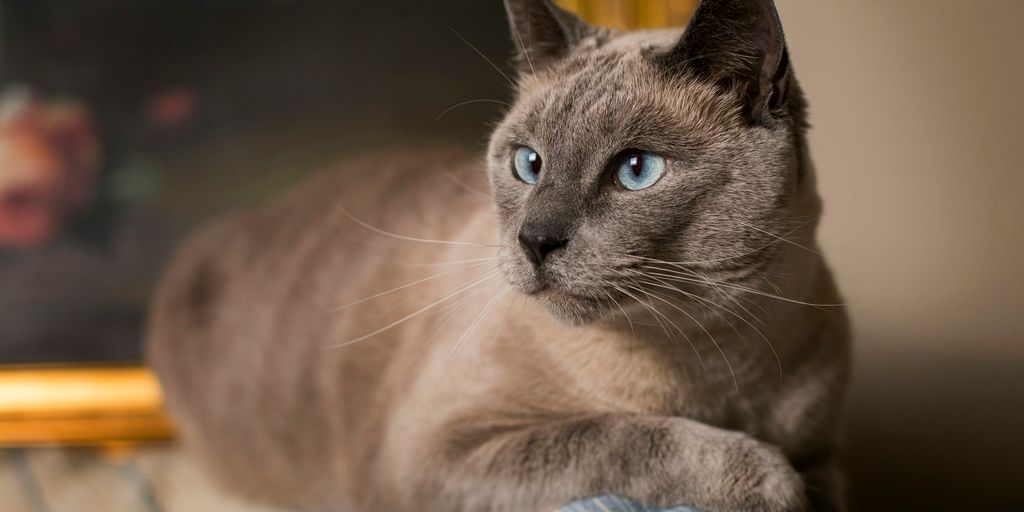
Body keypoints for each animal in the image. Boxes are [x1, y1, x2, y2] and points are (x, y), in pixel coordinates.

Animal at [146, 1, 847, 512]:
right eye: (528, 164)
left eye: (636, 170)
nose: (534, 240)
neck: (715, 365)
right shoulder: (440, 454)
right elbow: (623, 436)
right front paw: (769, 480)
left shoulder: (826, 454)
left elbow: (821, 485)